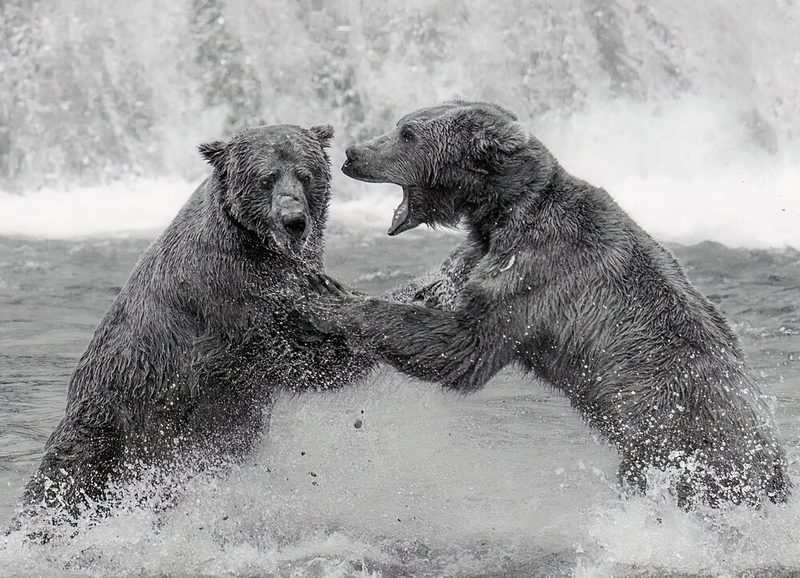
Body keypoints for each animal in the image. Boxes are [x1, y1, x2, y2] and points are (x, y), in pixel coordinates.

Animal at [16, 124, 375, 525]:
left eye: (305, 174)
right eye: (266, 178)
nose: (294, 220)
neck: (257, 245)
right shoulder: (229, 296)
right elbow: (292, 354)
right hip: (111, 427)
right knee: (64, 483)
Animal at [330, 100, 789, 508]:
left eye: (408, 134)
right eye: (400, 123)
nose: (352, 153)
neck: (500, 212)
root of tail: (776, 467)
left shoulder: (537, 270)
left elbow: (465, 344)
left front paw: (337, 302)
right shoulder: (480, 253)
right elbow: (436, 290)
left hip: (683, 447)